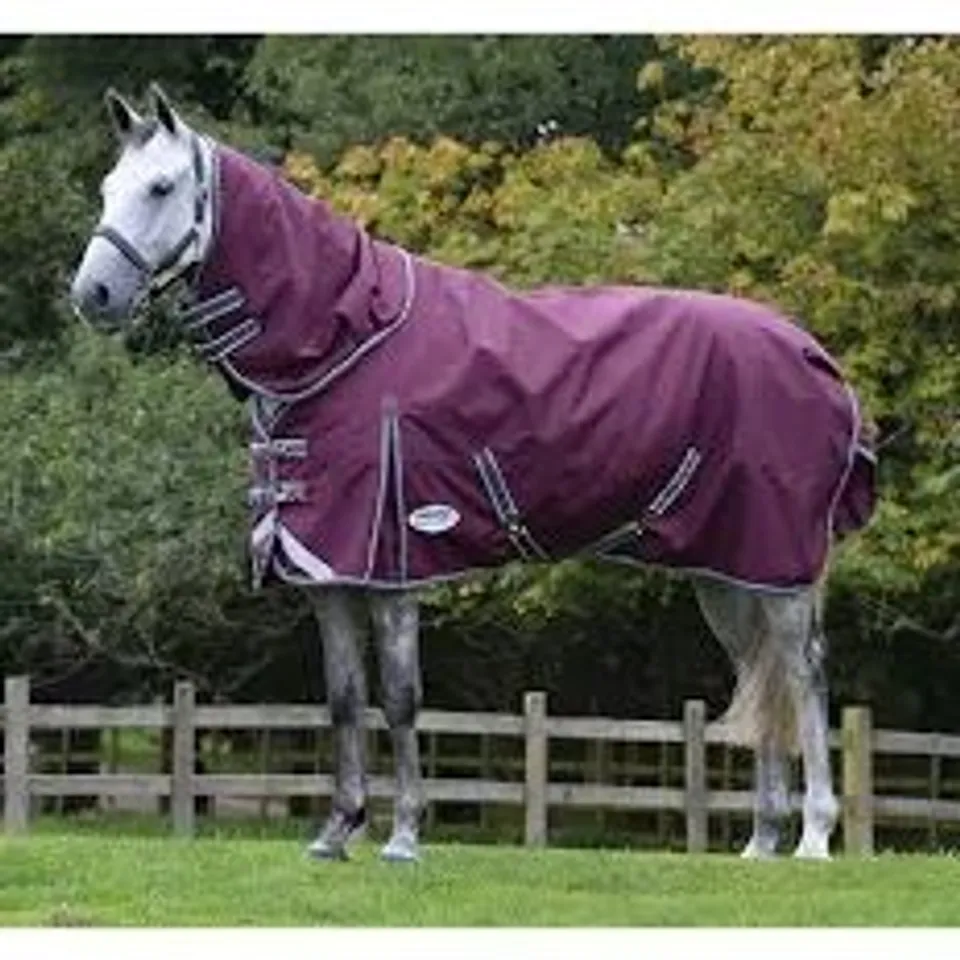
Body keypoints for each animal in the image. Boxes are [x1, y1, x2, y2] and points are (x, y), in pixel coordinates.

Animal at [70, 84, 877, 863]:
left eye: (162, 186)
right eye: (109, 186)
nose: (93, 296)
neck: (345, 344)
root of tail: (817, 357)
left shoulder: (393, 567)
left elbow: (399, 697)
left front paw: (402, 836)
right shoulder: (329, 572)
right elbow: (342, 697)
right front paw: (337, 832)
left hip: (779, 569)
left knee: (801, 675)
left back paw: (812, 838)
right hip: (729, 573)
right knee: (758, 675)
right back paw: (760, 842)